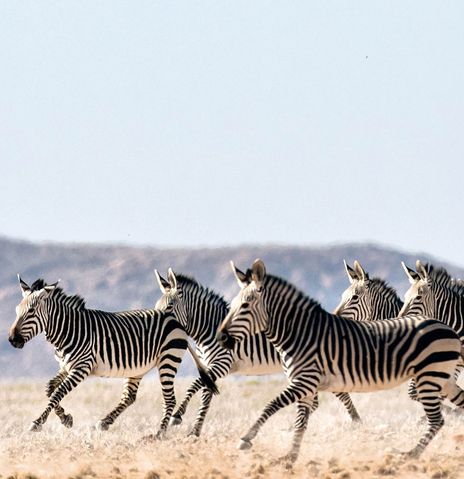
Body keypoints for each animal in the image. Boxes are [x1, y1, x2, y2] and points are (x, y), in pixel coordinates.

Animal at [8, 276, 217, 436]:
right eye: (17, 311)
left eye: (31, 311)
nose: (12, 340)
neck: (68, 329)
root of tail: (176, 320)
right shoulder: (66, 367)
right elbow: (50, 389)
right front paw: (66, 419)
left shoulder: (81, 367)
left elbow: (58, 392)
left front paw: (38, 422)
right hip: (138, 368)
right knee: (130, 397)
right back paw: (105, 422)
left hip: (168, 359)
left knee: (170, 400)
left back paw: (159, 434)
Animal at [154, 268, 360, 436]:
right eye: (156, 308)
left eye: (169, 307)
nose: (157, 325)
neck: (208, 328)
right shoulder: (209, 366)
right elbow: (206, 394)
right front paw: (195, 431)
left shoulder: (223, 363)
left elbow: (195, 384)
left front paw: (178, 415)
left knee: (337, 394)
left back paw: (356, 421)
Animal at [217, 258, 464, 464]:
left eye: (245, 305)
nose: (221, 337)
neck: (299, 333)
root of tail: (447, 327)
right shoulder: (306, 387)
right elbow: (300, 423)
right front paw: (289, 457)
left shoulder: (304, 382)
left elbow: (271, 404)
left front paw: (246, 438)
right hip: (442, 379)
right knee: (456, 404)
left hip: (429, 377)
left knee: (437, 420)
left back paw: (409, 455)